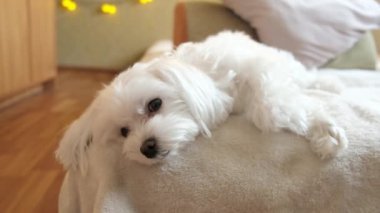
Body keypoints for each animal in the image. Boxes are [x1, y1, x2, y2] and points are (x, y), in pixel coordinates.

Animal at [55, 30, 348, 171]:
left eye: (154, 104)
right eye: (124, 132)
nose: (146, 147)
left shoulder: (261, 69)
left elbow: (272, 109)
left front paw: (325, 131)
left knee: (307, 78)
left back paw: (330, 84)